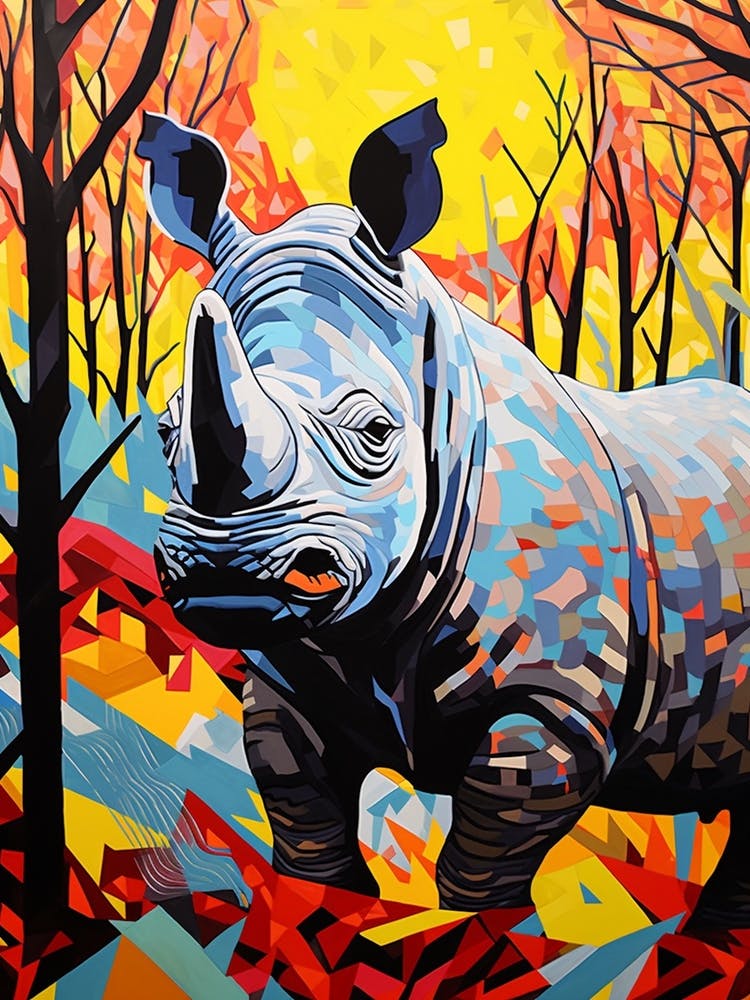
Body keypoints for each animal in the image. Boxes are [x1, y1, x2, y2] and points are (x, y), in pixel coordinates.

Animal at [138, 102, 750, 926]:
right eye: (167, 429)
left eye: (375, 432)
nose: (221, 572)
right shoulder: (288, 686)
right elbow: (309, 829)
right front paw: (325, 925)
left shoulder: (552, 706)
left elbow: (480, 871)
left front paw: (478, 942)